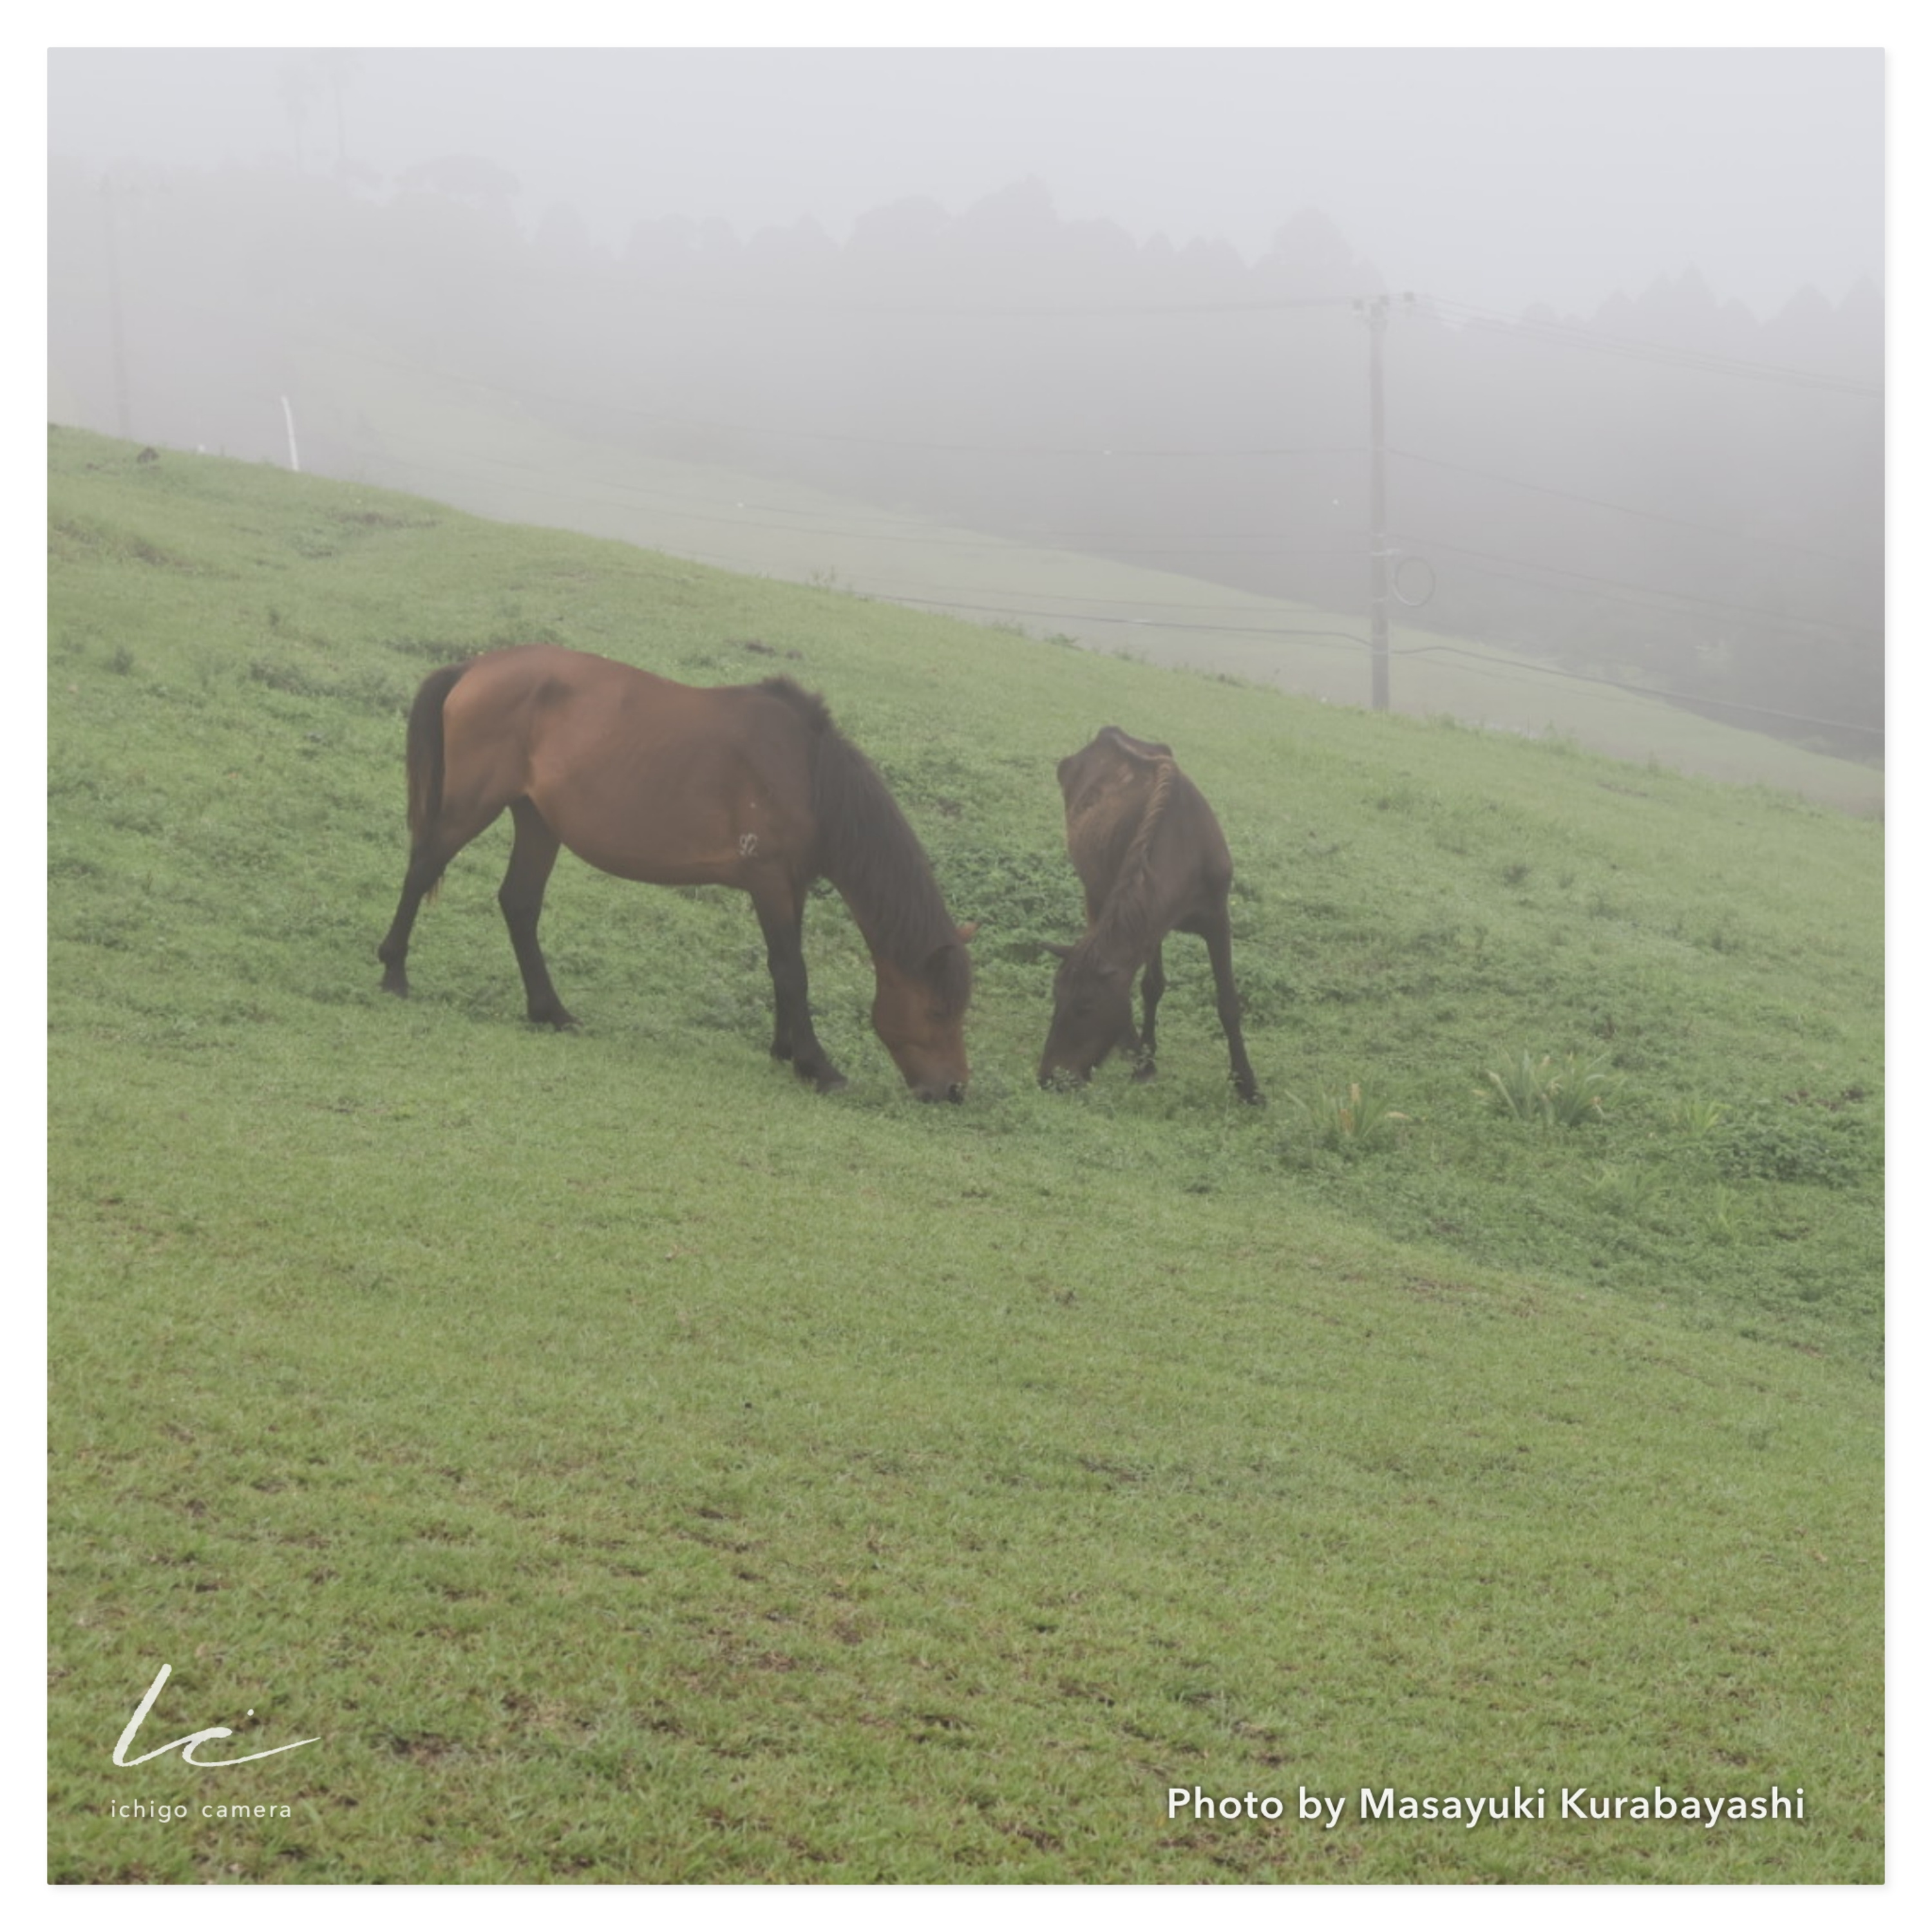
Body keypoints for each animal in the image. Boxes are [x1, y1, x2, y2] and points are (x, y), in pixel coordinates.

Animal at [377, 646, 974, 1101]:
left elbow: (784, 968)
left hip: (537, 821)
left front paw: (785, 1049)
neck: (808, 773)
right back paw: (394, 973)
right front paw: (816, 1065)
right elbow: (791, 971)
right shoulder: (769, 882)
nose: (952, 1091)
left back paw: (551, 1012)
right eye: (938, 1009)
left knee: (519, 904)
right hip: (472, 805)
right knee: (422, 869)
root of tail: (474, 666)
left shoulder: (791, 886)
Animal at [1038, 726, 1262, 1104]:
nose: (1050, 1077)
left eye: (1086, 1005)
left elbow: (1229, 1003)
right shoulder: (1144, 916)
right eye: (1056, 996)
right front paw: (1144, 1061)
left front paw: (1248, 1084)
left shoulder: (1217, 917)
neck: (1185, 849)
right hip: (1093, 887)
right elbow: (1150, 985)